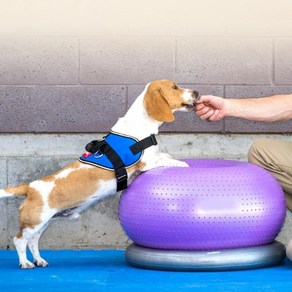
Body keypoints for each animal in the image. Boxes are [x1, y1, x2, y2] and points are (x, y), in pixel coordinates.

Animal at [0, 78, 198, 268]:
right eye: (175, 87)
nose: (196, 92)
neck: (140, 123)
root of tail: (30, 187)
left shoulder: (154, 158)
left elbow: (166, 155)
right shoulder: (148, 162)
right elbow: (171, 161)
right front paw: (183, 164)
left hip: (42, 223)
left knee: (32, 241)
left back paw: (39, 260)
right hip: (34, 223)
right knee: (19, 240)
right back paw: (25, 263)